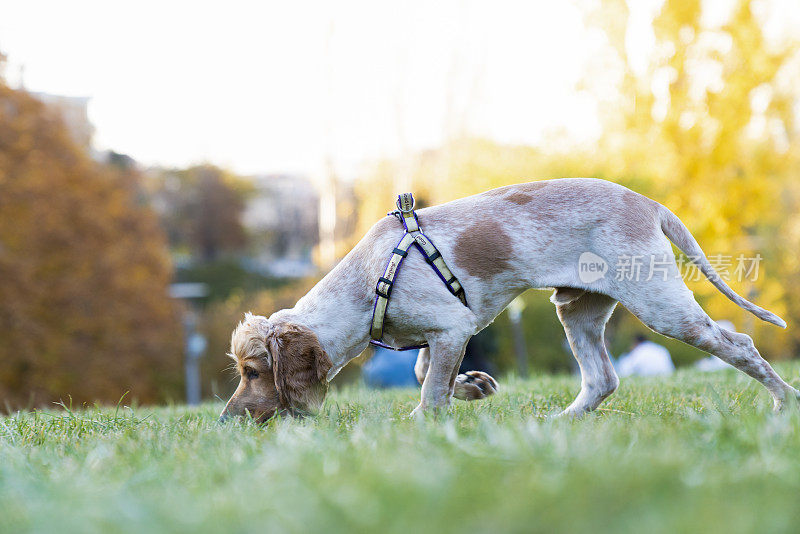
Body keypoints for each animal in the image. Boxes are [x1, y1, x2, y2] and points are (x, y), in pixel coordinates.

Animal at [220, 180, 800, 422]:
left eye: (253, 372)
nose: (225, 420)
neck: (371, 281)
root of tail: (648, 203)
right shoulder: (445, 332)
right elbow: (426, 372)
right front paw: (473, 387)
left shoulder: (453, 327)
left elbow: (428, 391)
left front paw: (423, 423)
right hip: (576, 309)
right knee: (602, 379)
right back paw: (560, 423)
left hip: (662, 306)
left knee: (739, 343)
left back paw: (783, 402)